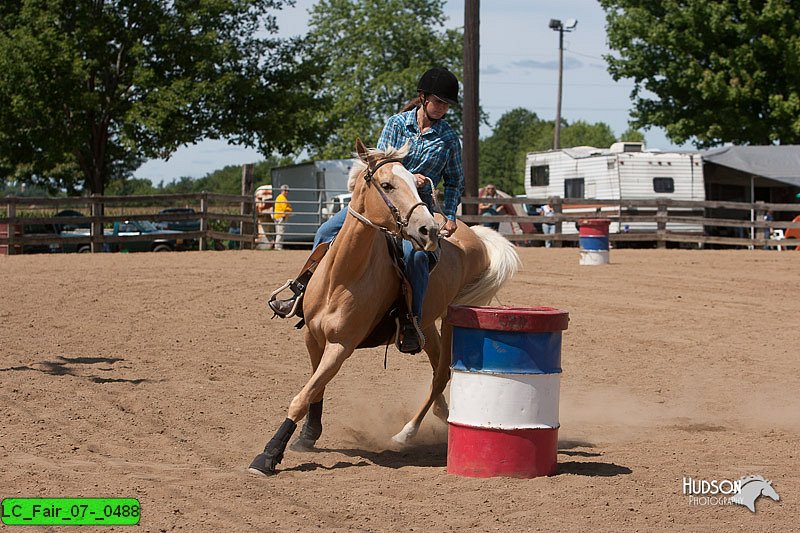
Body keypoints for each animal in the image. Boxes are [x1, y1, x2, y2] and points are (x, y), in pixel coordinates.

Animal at [247, 138, 520, 474]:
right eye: (387, 185)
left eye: (415, 185)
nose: (428, 230)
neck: (342, 275)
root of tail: (475, 236)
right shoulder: (313, 336)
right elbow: (315, 389)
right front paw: (308, 435)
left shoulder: (342, 346)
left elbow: (303, 395)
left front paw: (269, 454)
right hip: (426, 324)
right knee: (437, 367)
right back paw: (441, 413)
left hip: (452, 319)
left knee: (441, 374)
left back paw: (406, 433)